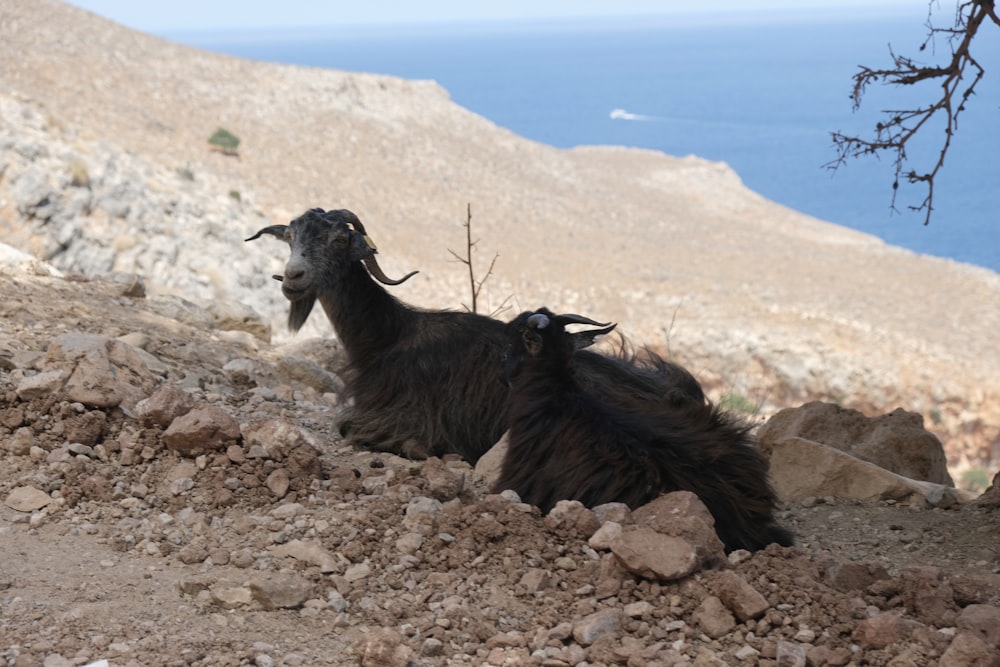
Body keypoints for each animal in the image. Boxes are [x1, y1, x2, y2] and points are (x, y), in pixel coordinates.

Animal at [245, 207, 704, 464]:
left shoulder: (401, 415)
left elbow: (353, 429)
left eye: (340, 239)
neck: (388, 337)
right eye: (291, 238)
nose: (294, 278)